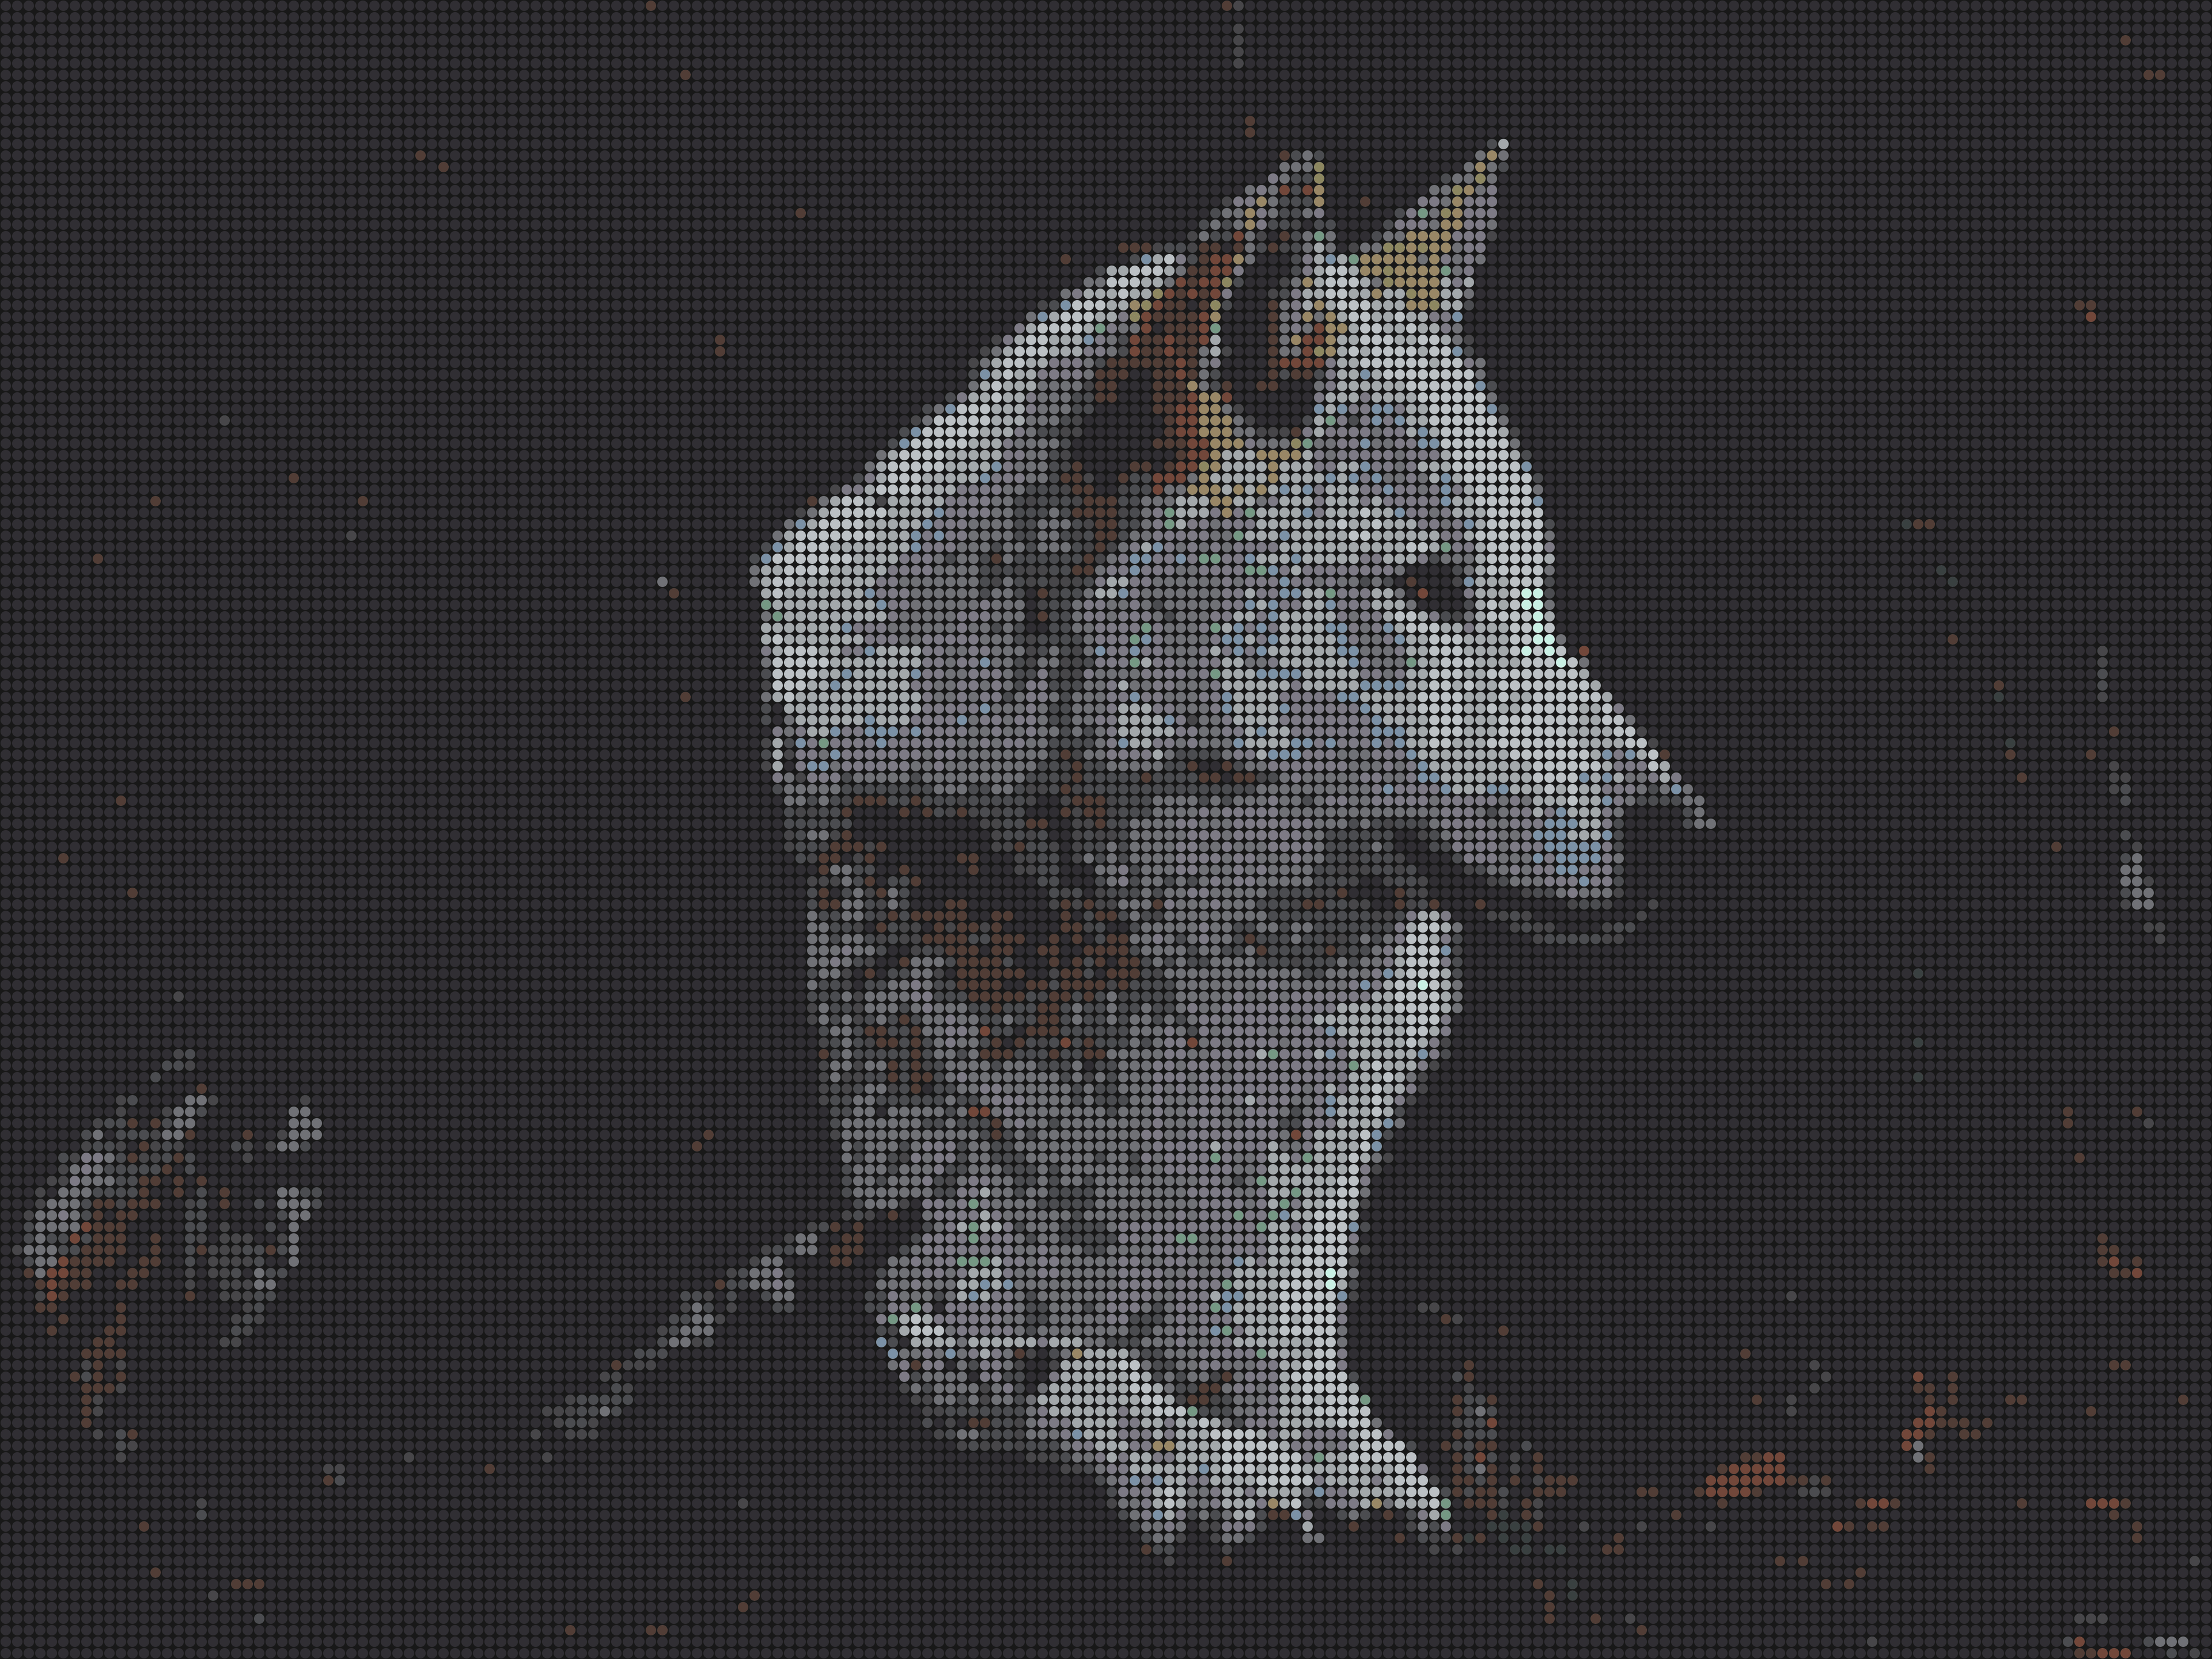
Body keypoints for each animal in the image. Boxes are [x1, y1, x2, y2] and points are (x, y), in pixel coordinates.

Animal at [551, 148, 1709, 1557]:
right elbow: (1053, 1360)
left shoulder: (1265, 1284)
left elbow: (1319, 1399)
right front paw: (1216, 1472)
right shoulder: (910, 1277)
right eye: (1431, 588)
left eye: (1537, 591)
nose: (1693, 840)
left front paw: (1371, 1479)